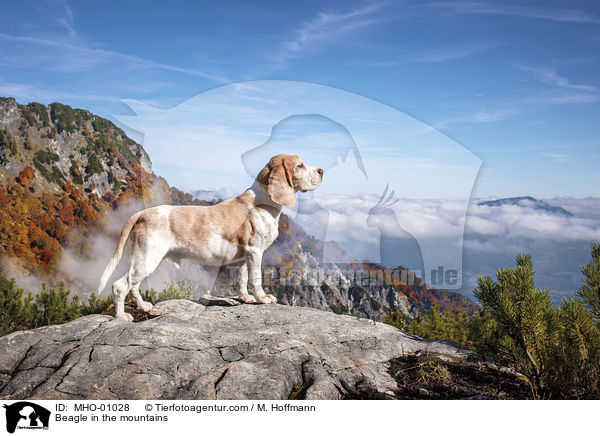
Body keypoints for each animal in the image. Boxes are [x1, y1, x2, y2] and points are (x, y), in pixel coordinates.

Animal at [97, 154, 324, 320]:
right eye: (300, 165)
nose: (321, 170)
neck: (263, 201)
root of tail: (143, 213)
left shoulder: (244, 257)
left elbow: (242, 279)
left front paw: (246, 298)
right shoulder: (255, 251)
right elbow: (255, 278)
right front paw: (262, 298)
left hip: (143, 260)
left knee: (133, 286)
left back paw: (144, 307)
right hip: (147, 259)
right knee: (120, 286)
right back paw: (121, 316)